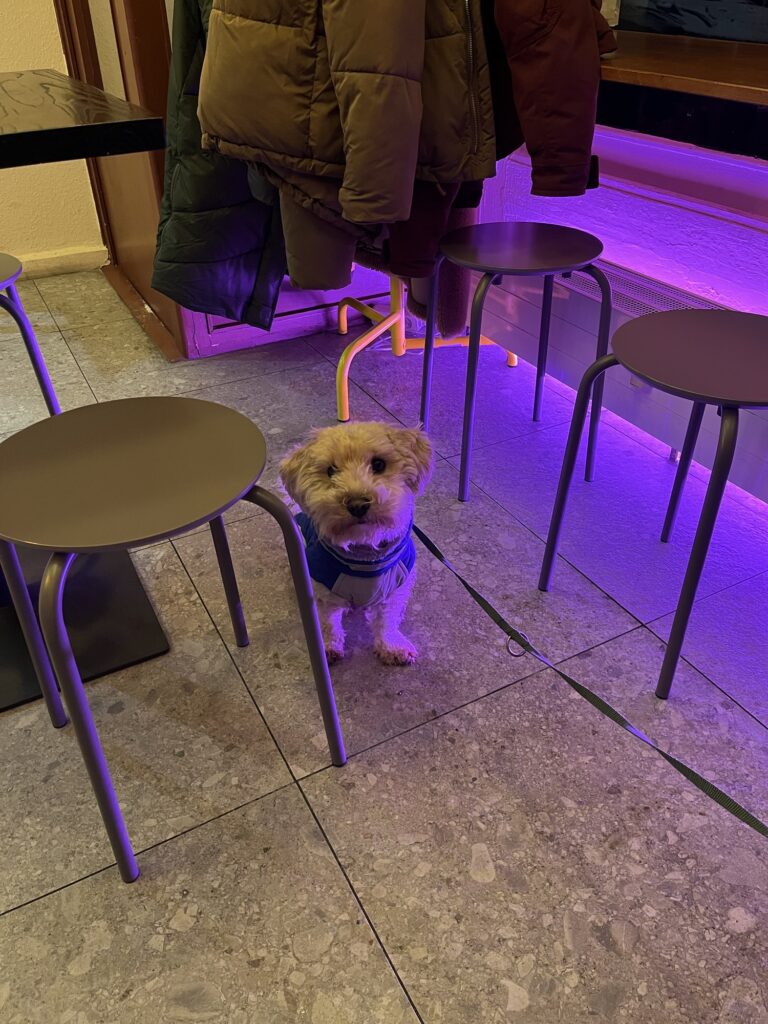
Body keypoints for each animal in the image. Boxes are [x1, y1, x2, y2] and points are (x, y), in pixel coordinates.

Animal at [280, 422, 433, 666]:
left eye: (379, 464)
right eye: (331, 470)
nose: (358, 504)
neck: (364, 553)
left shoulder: (394, 588)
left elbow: (386, 621)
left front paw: (390, 645)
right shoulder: (321, 589)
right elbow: (328, 623)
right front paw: (327, 647)